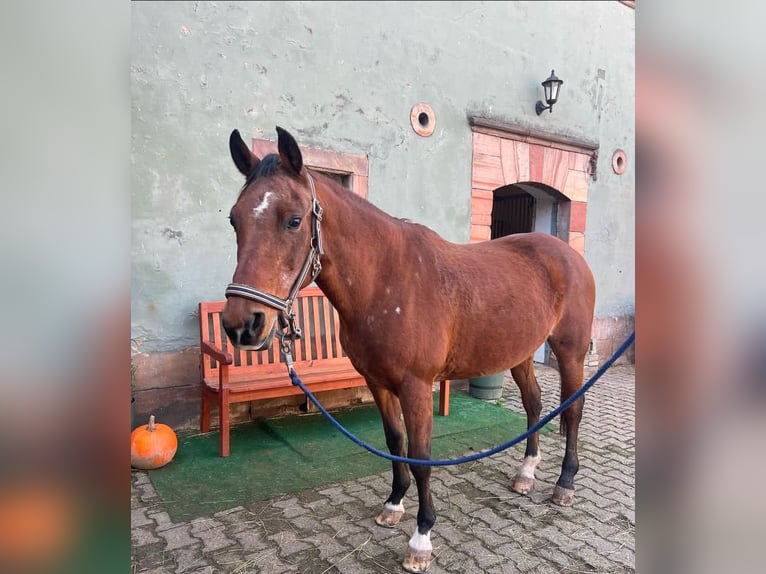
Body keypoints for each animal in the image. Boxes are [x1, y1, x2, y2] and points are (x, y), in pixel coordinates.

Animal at [222, 128, 600, 572]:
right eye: (234, 219)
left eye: (294, 220)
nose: (241, 324)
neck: (386, 279)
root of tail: (568, 254)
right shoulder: (379, 382)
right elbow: (394, 442)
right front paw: (393, 504)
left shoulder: (416, 386)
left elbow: (421, 455)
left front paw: (421, 538)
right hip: (520, 352)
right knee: (534, 404)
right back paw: (526, 472)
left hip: (570, 352)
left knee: (572, 411)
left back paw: (564, 483)